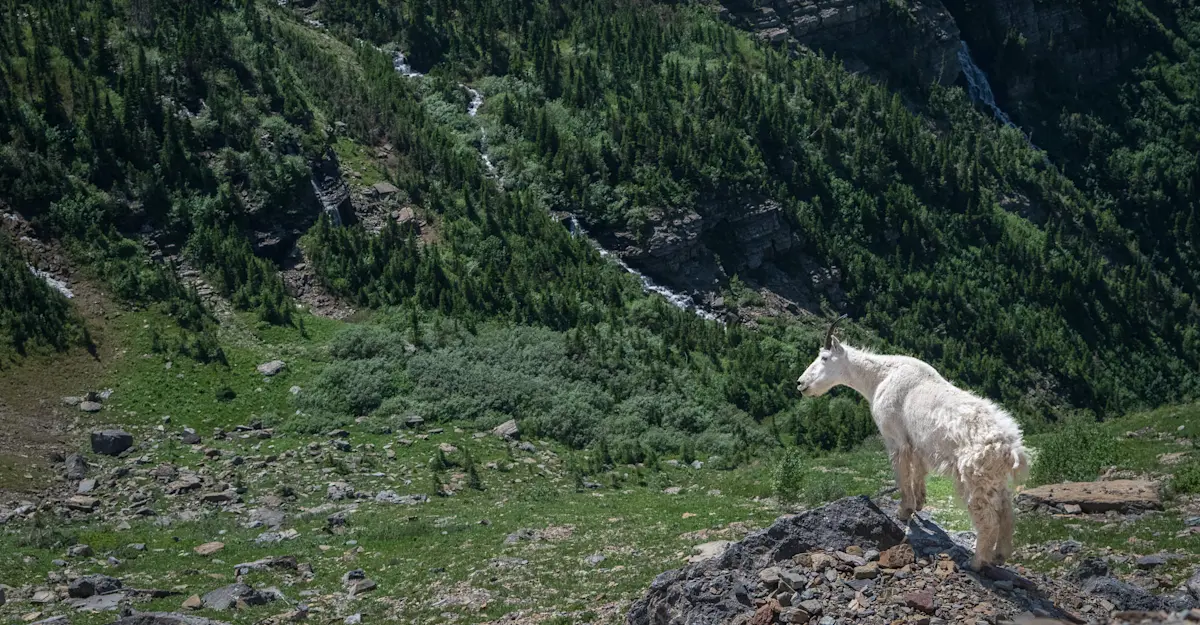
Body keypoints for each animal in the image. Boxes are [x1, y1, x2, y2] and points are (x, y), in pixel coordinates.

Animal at [795, 316, 1030, 570]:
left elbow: (901, 473)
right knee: (1007, 511)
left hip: (975, 477)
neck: (879, 378)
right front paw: (919, 503)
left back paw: (976, 562)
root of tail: (1011, 450)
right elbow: (918, 469)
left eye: (824, 358)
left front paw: (904, 510)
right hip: (994, 480)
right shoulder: (916, 441)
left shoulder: (895, 437)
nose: (800, 384)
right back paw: (999, 556)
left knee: (987, 518)